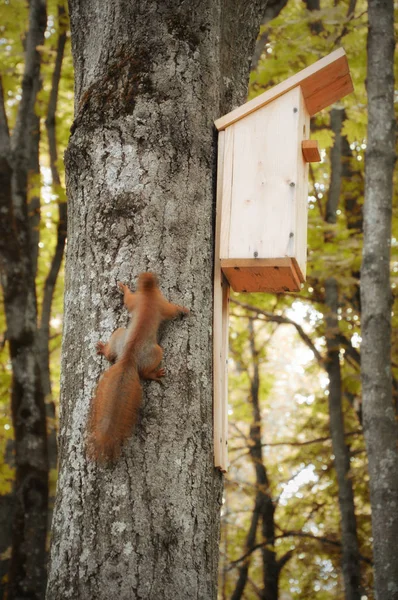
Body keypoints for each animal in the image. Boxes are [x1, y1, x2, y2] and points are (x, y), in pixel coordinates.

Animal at [88, 274, 190, 464]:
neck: (148, 294)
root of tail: (128, 357)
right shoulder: (163, 303)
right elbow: (171, 309)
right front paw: (183, 309)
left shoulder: (140, 300)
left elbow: (128, 300)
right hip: (155, 351)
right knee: (144, 373)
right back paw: (154, 374)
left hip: (119, 336)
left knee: (111, 354)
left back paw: (104, 350)